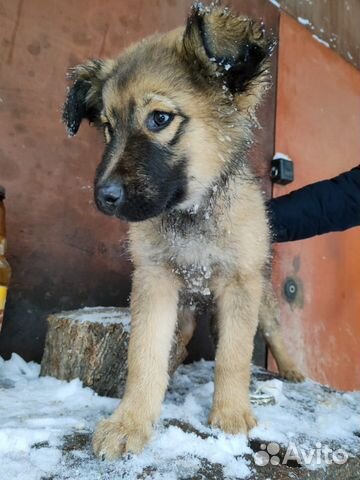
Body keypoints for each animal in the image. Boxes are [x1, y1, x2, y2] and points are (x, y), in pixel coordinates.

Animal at [63, 4, 302, 462]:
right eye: (108, 127)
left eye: (159, 118)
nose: (103, 198)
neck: (192, 215)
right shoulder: (155, 279)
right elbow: (145, 355)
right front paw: (130, 422)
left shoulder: (239, 283)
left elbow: (234, 356)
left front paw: (231, 415)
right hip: (187, 310)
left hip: (260, 295)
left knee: (273, 332)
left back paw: (295, 371)